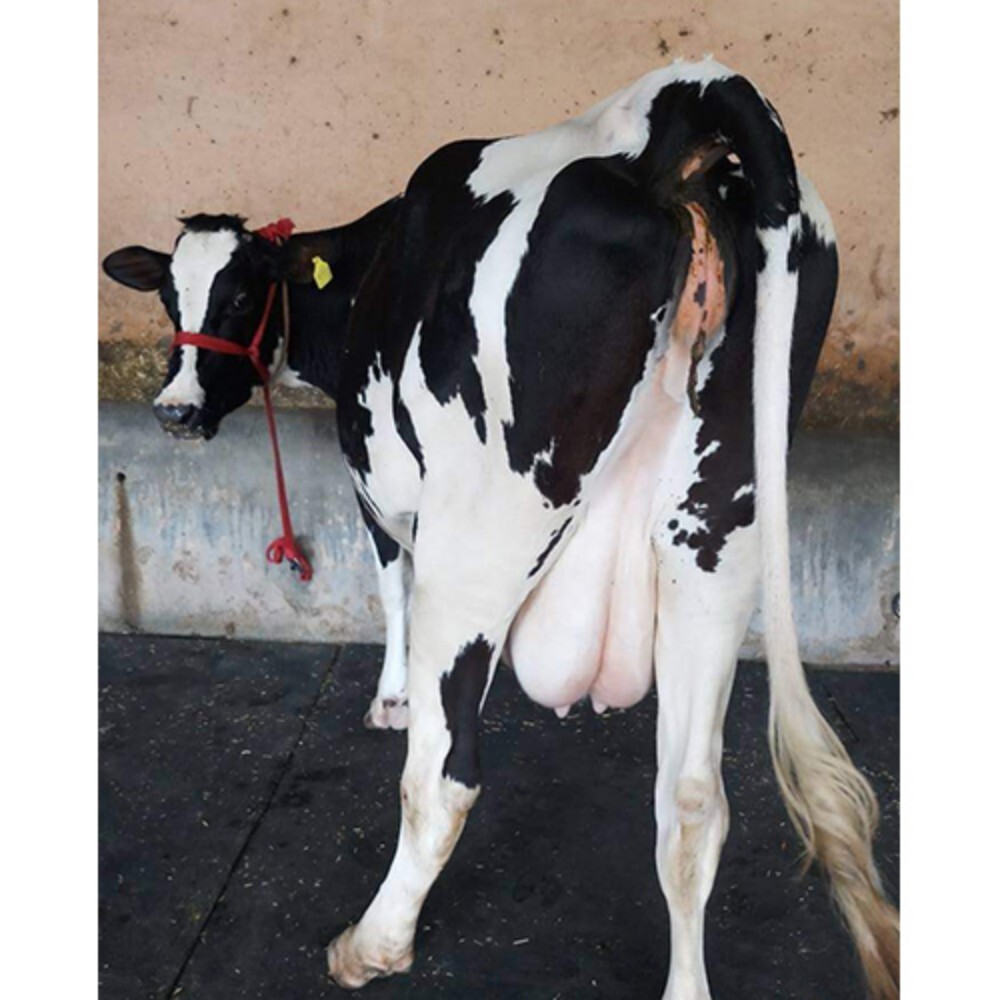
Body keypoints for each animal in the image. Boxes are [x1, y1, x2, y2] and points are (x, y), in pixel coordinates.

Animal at [102, 58, 899, 1000]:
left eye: (239, 296)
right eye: (169, 297)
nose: (175, 411)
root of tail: (677, 99)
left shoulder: (380, 488)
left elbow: (390, 585)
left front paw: (391, 699)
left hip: (485, 532)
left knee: (445, 777)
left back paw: (371, 942)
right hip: (716, 536)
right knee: (692, 798)